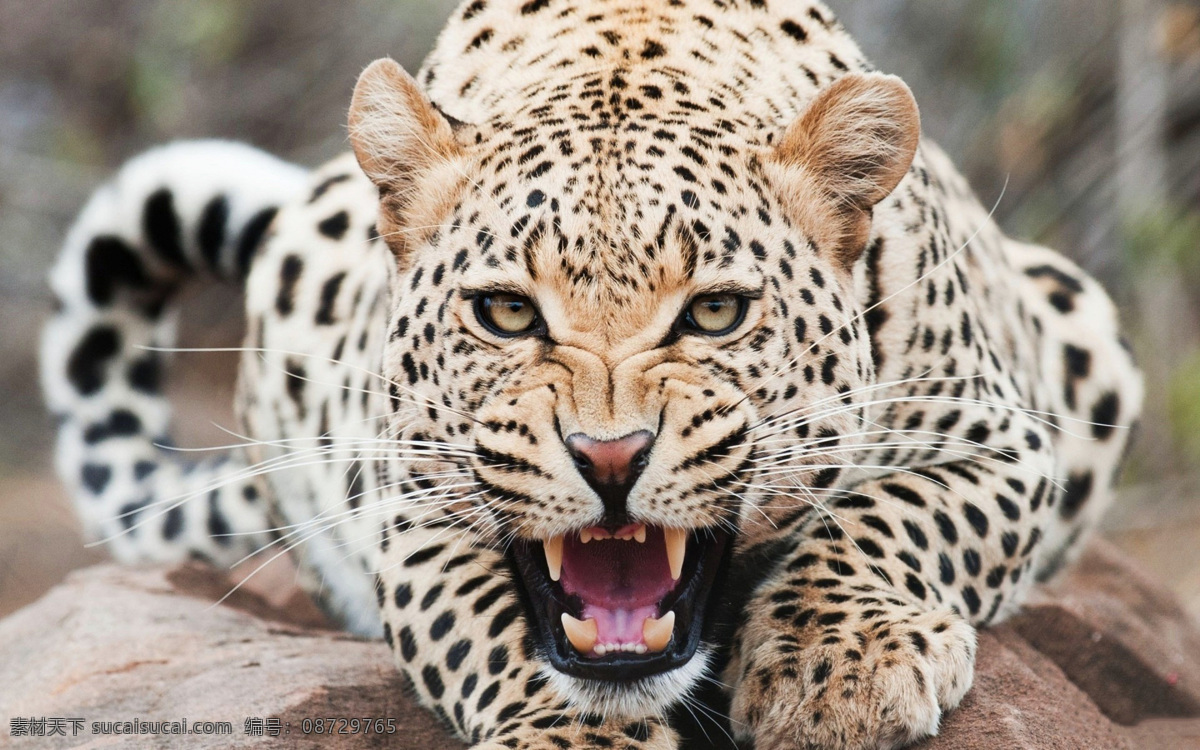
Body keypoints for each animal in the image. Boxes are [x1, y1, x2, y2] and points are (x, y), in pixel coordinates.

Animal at [39, 1, 1142, 748]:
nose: (610, 458)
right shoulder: (409, 504)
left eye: (715, 312)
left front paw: (840, 670)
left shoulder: (1003, 440)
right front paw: (574, 736)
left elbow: (893, 517)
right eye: (506, 313)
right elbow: (487, 626)